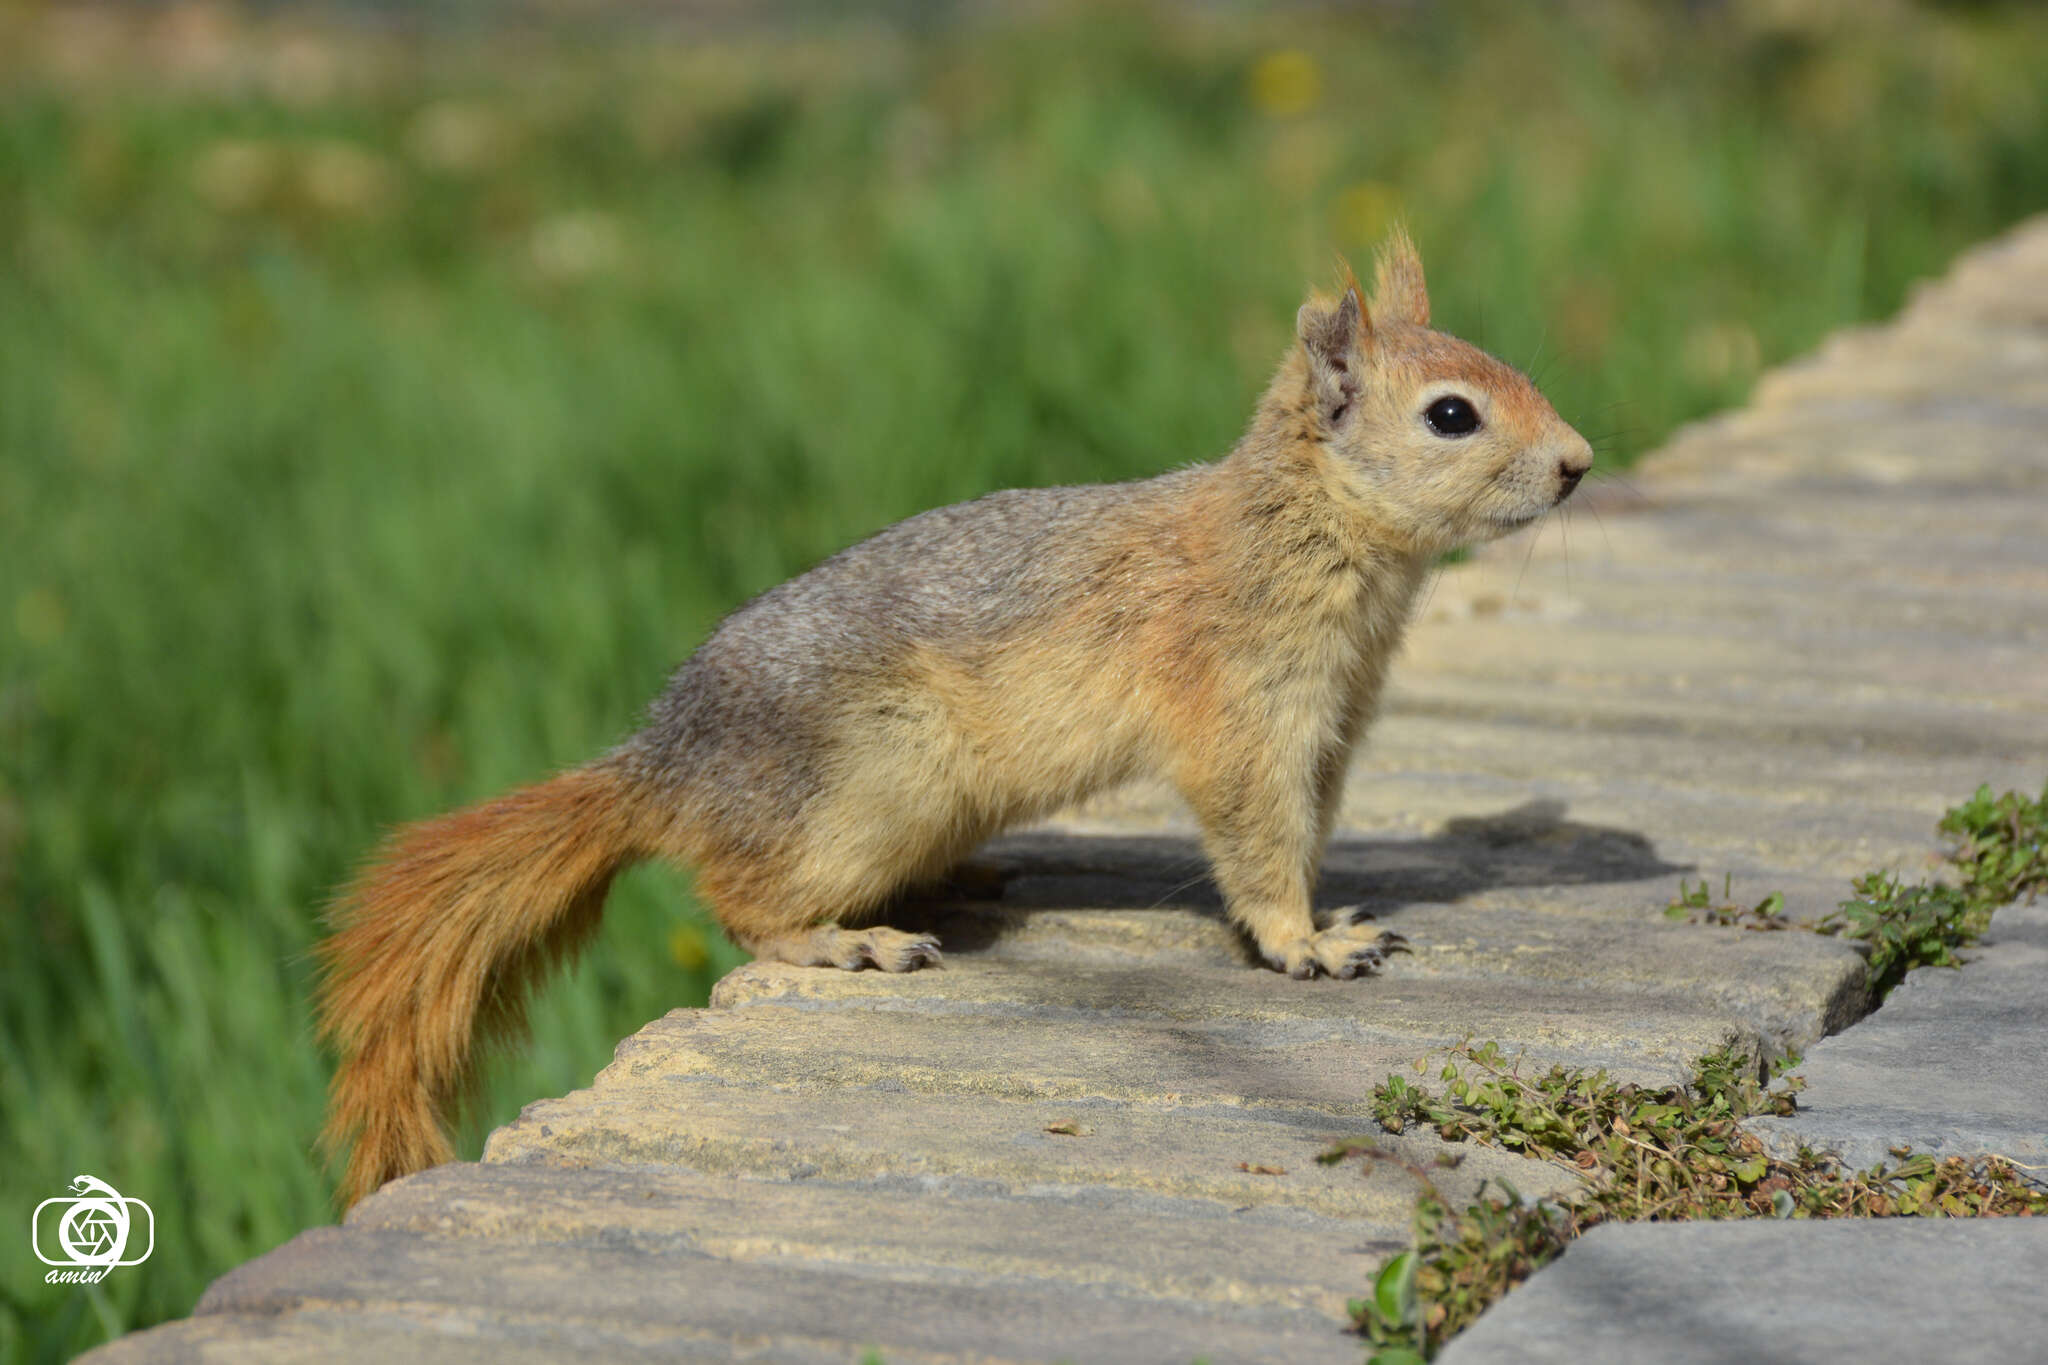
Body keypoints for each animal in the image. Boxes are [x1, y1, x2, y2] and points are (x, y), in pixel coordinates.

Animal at [319, 227, 1597, 1203]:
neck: (1303, 530)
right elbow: (1253, 840)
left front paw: (1331, 917)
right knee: (739, 899)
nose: (1579, 463)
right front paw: (1306, 945)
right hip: (870, 781)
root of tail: (663, 767)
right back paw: (846, 939)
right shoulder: (1236, 705)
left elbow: (1307, 831)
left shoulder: (1329, 722)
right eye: (1449, 416)